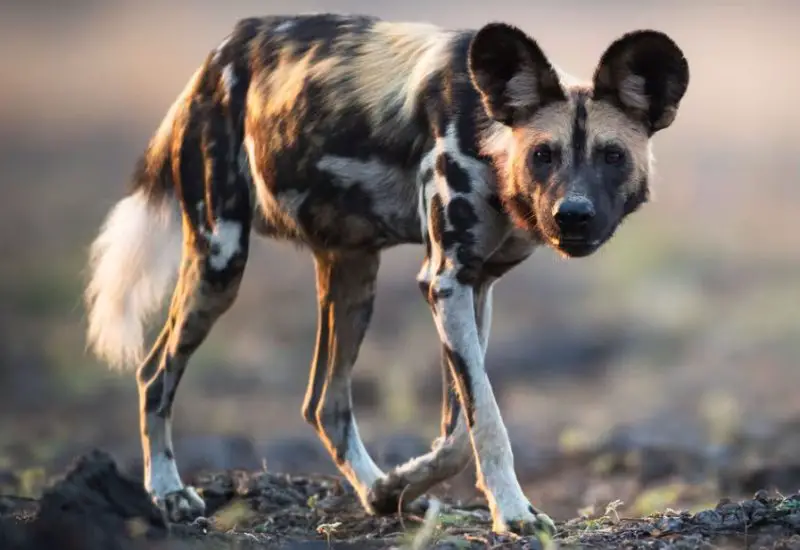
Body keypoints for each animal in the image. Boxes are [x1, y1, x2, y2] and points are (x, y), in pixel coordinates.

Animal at [84, 14, 692, 540]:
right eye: (544, 155)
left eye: (612, 156)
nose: (573, 215)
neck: (491, 140)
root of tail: (218, 57)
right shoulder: (446, 282)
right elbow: (486, 421)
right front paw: (513, 514)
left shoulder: (474, 287)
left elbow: (459, 431)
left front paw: (401, 486)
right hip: (220, 260)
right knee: (155, 371)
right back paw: (167, 491)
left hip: (354, 274)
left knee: (324, 404)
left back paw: (375, 489)